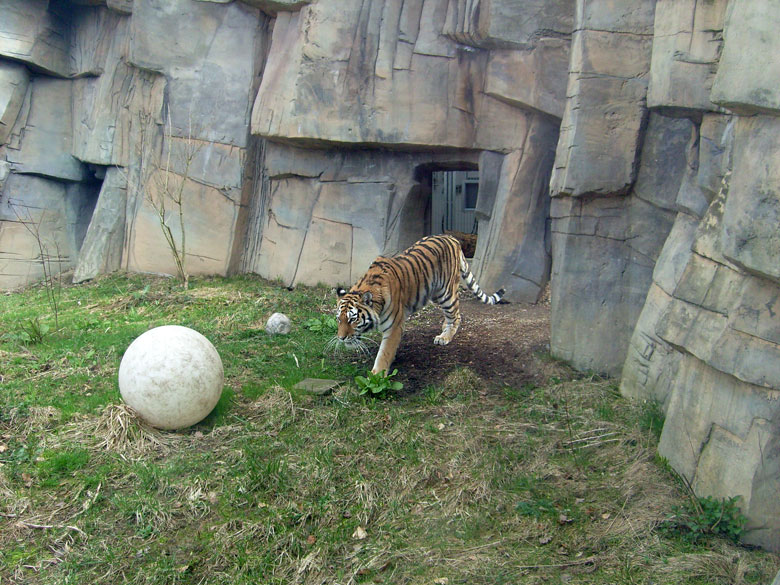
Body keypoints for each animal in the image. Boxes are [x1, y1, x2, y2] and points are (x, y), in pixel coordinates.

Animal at [336, 233, 506, 374]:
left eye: (353, 319)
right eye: (339, 319)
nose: (341, 338)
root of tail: (453, 238)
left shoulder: (394, 327)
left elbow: (384, 354)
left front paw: (376, 378)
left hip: (446, 294)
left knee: (456, 315)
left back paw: (445, 337)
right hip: (436, 294)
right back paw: (444, 329)